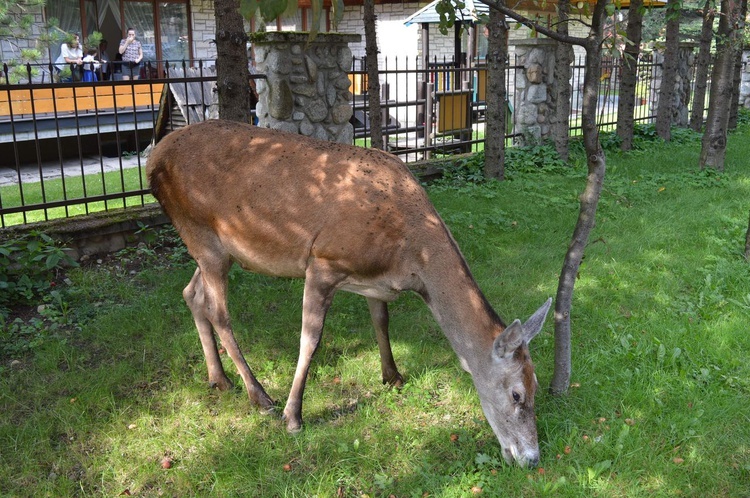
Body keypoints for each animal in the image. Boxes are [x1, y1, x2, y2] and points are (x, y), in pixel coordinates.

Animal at [147, 119, 552, 466]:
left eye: (537, 385)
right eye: (517, 394)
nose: (531, 458)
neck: (410, 258)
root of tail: (153, 157)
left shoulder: (374, 282)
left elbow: (381, 321)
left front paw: (393, 375)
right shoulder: (323, 261)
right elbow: (310, 340)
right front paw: (294, 416)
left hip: (217, 248)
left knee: (191, 293)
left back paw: (218, 379)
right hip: (201, 231)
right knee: (219, 312)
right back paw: (260, 396)